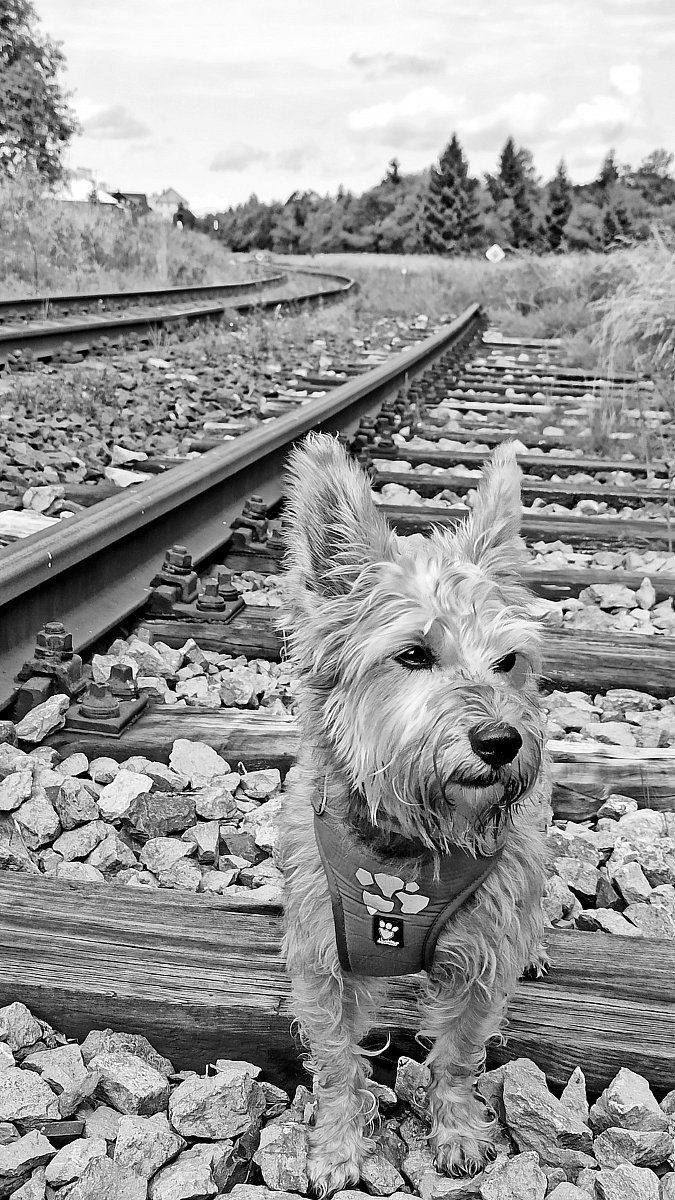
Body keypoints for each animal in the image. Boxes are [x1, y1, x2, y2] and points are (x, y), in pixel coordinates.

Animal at [279, 433, 549, 1196]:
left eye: (508, 660)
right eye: (412, 654)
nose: (502, 741)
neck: (406, 846)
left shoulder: (479, 959)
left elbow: (456, 1054)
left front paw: (454, 1131)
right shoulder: (323, 961)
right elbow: (338, 1061)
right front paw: (338, 1147)